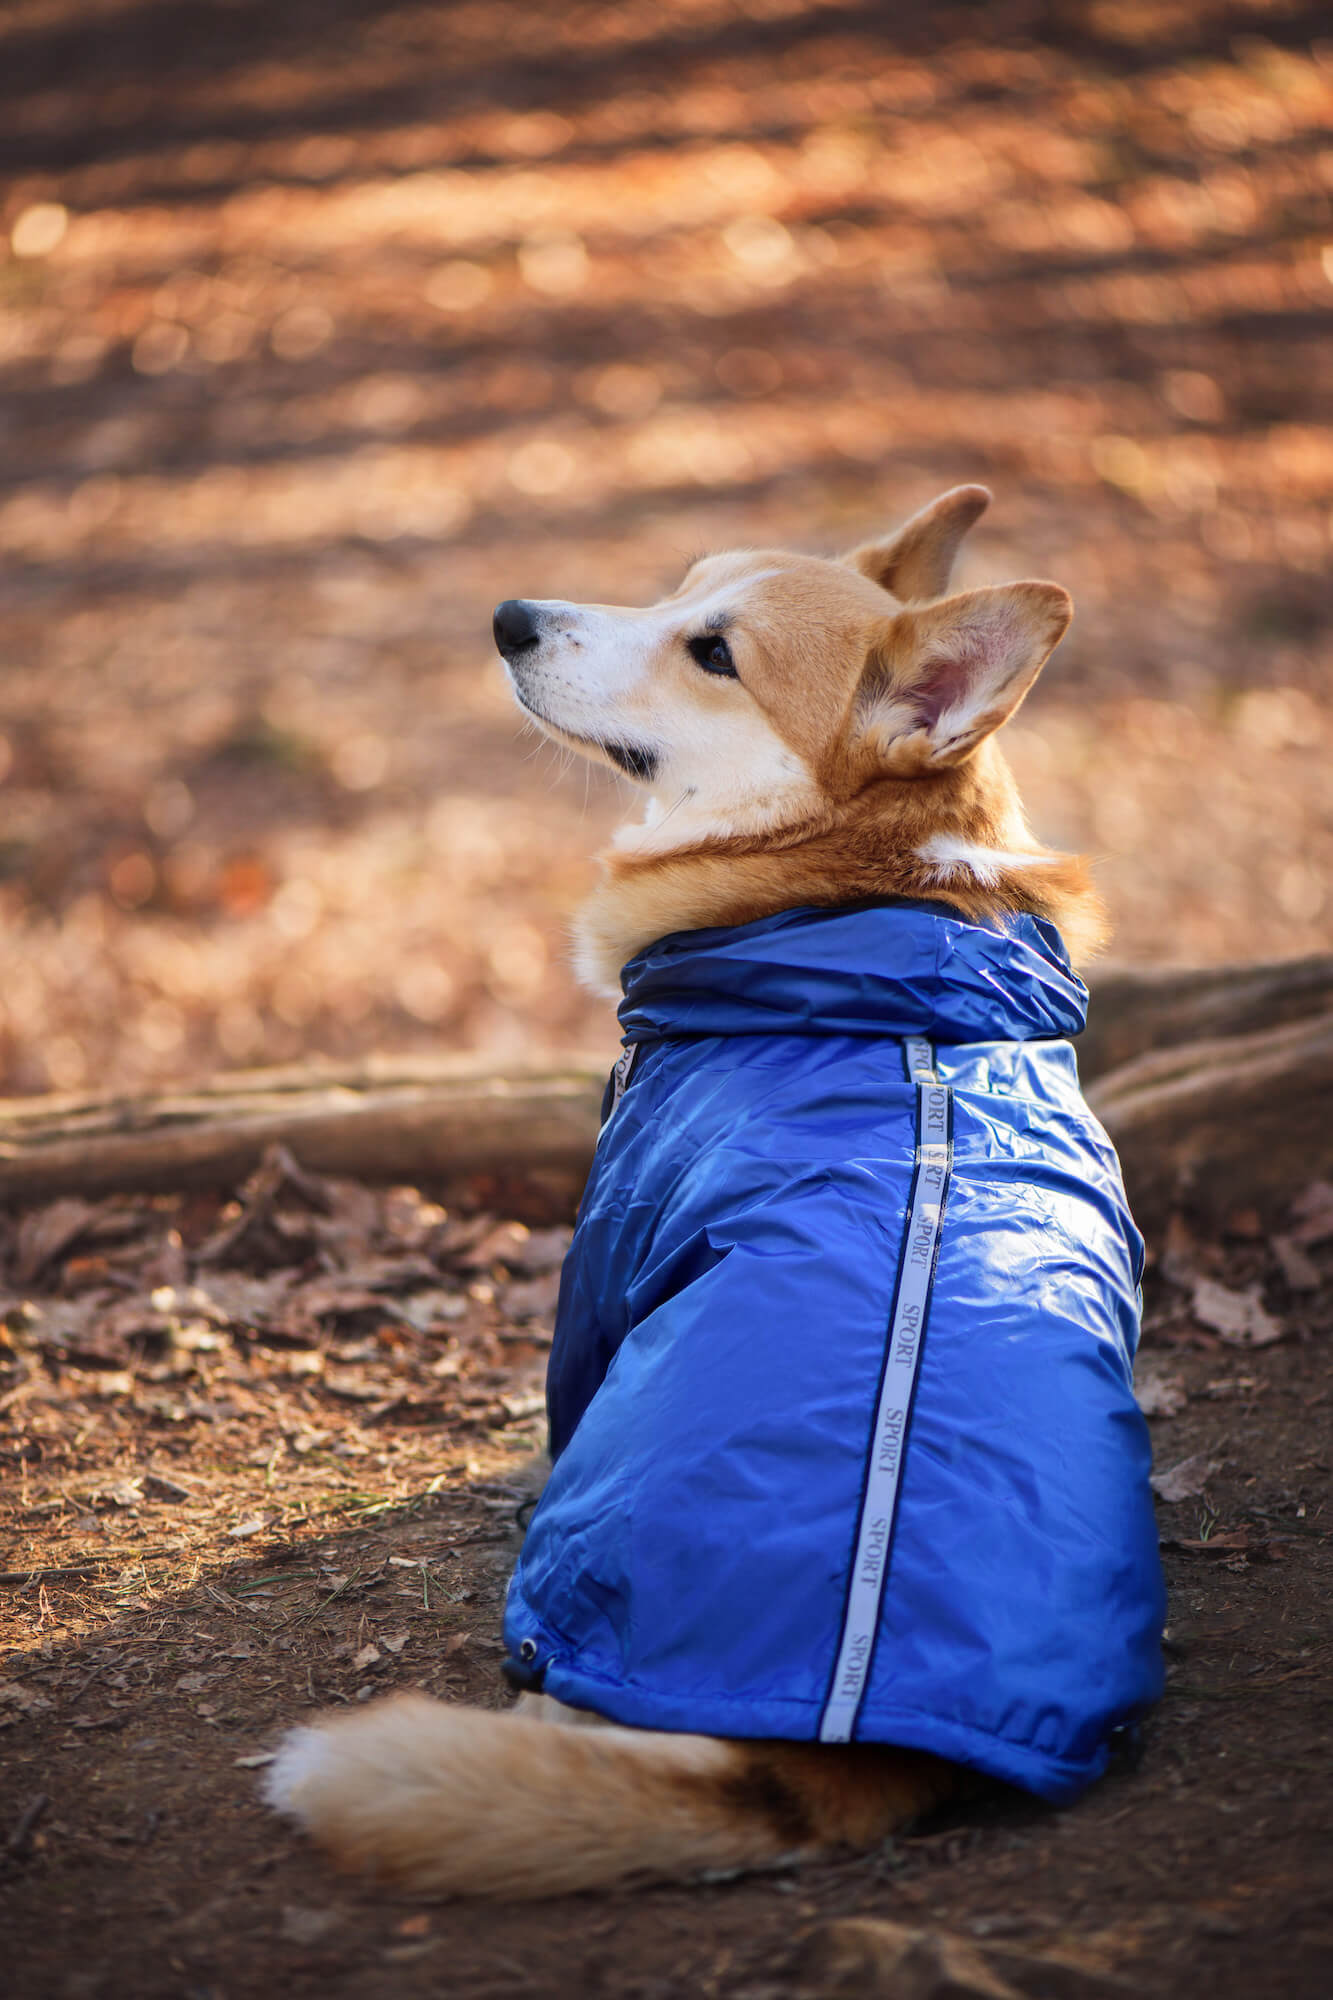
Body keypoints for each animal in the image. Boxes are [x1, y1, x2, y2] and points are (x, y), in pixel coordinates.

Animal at [262, 484, 1160, 1888]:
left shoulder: (610, 1241)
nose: (509, 617)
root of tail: (830, 1766)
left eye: (716, 655)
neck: (857, 902)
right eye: (682, 584)